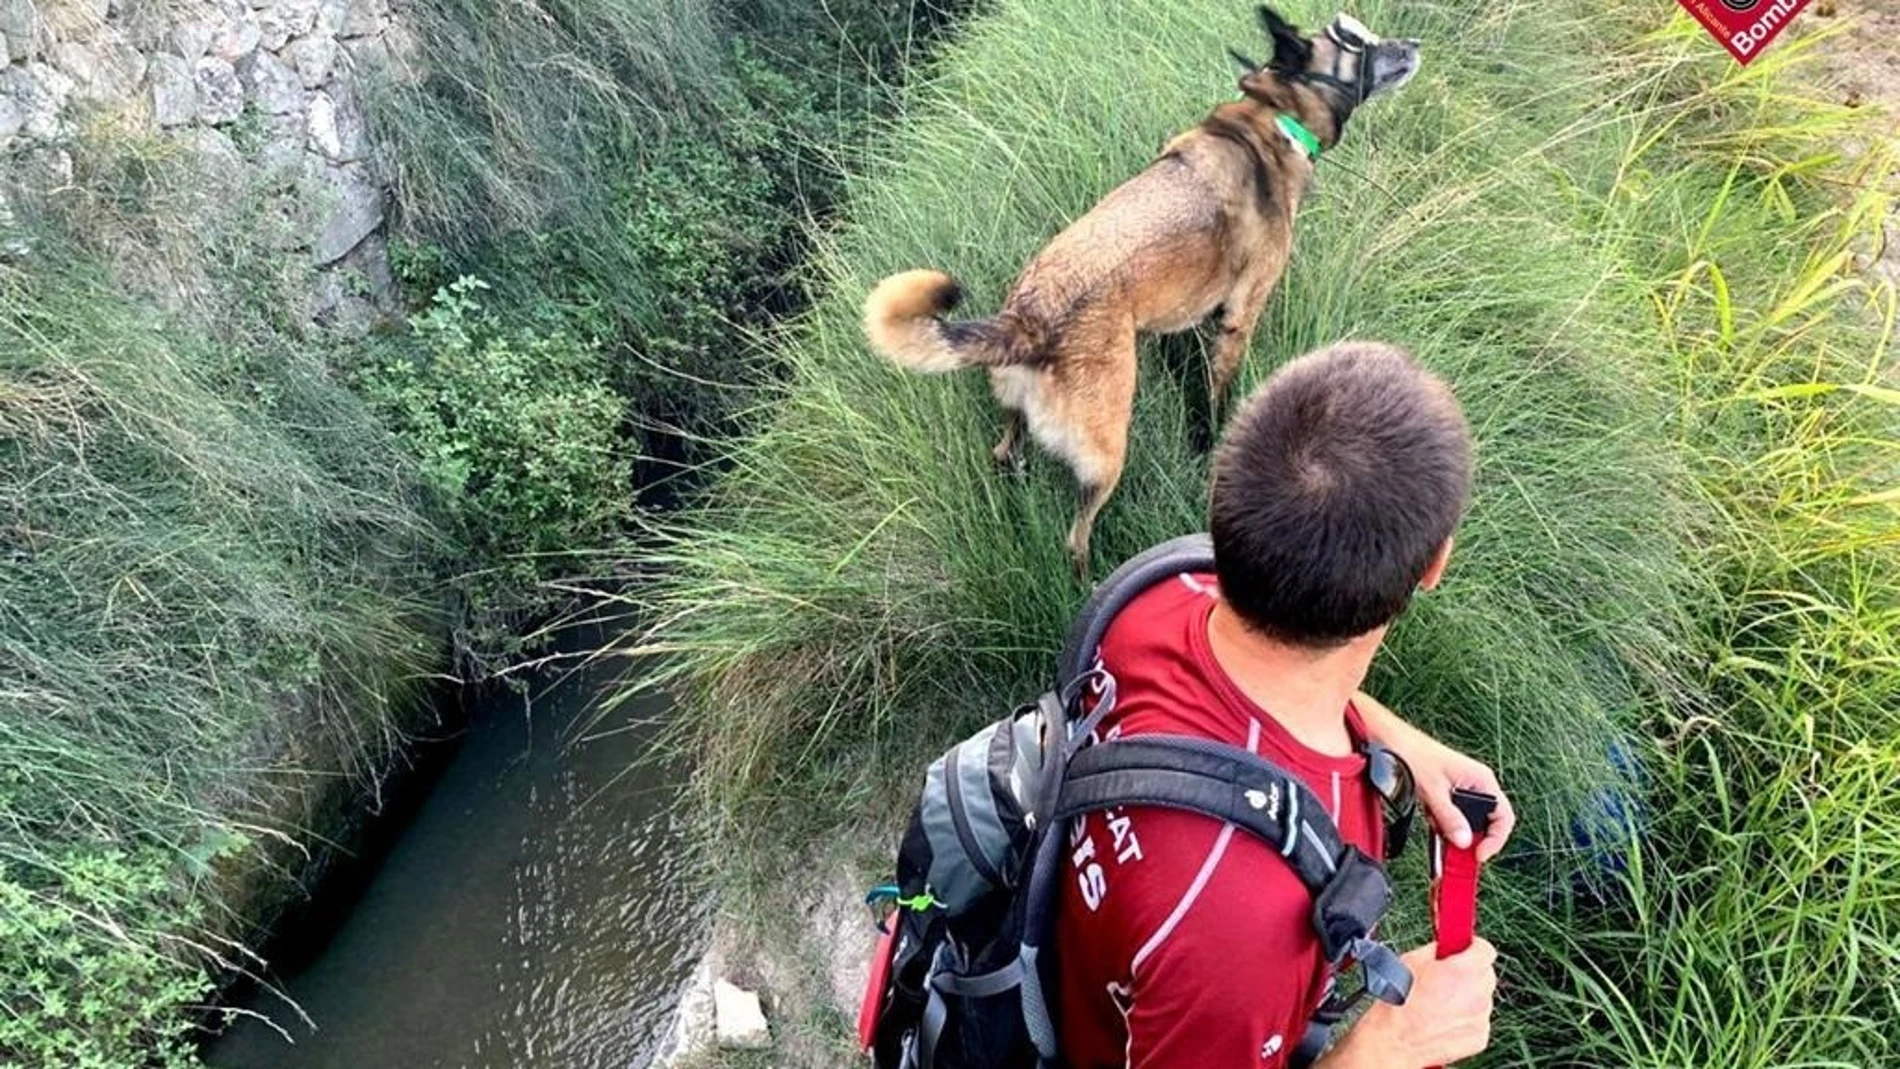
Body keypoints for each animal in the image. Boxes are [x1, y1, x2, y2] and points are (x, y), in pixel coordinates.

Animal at [870, 8, 1421, 577]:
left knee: (1005, 454)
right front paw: (1209, 445)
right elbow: (1217, 398)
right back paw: (1087, 577)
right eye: (1355, 39)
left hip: (1018, 417)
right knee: (1076, 535)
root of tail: (1028, 320)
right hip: (1107, 450)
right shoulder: (1239, 318)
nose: (1414, 45)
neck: (1271, 118)